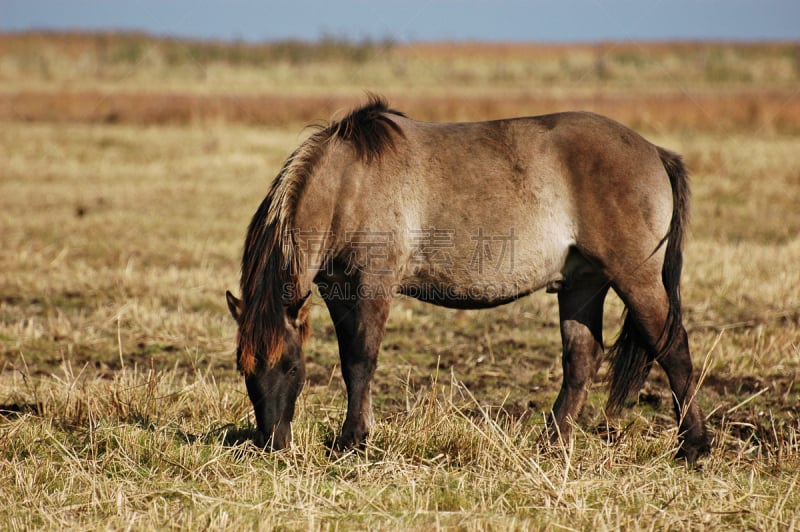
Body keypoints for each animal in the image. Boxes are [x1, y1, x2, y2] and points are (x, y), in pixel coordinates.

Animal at [223, 96, 708, 466]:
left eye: (291, 366)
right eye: (245, 369)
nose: (271, 445)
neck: (348, 182)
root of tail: (654, 151)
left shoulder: (373, 286)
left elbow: (361, 361)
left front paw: (353, 442)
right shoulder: (338, 291)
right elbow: (348, 362)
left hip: (635, 277)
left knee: (673, 349)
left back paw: (693, 447)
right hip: (581, 285)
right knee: (581, 361)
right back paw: (551, 445)